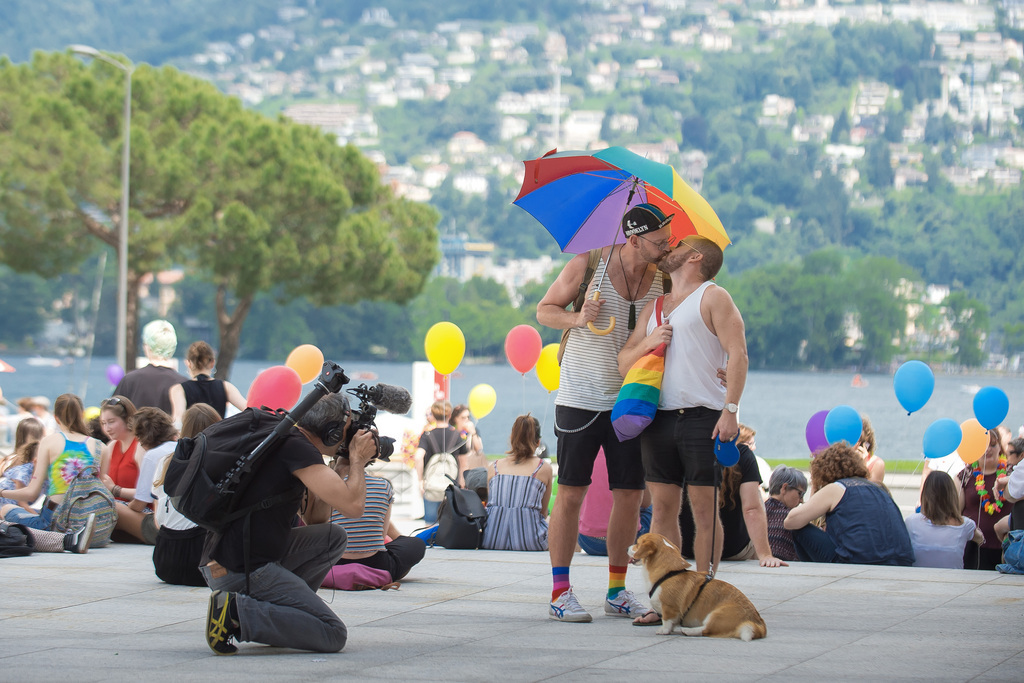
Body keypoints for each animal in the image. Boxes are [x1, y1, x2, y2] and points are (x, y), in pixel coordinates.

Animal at [626, 532, 765, 643]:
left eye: (637, 544)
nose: (627, 547)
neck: (669, 573)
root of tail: (758, 624)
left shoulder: (669, 608)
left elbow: (667, 621)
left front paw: (663, 630)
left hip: (716, 614)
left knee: (706, 630)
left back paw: (689, 631)